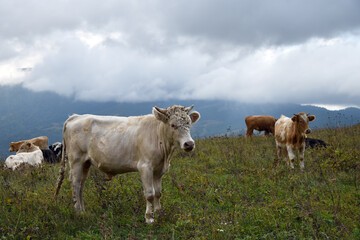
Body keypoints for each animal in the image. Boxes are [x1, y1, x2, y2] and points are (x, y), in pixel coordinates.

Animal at [56, 105, 202, 223]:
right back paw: (78, 212)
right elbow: (149, 194)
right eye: (173, 125)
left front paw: (159, 213)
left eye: (189, 123)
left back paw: (83, 211)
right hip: (76, 160)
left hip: (85, 163)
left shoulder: (159, 170)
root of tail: (76, 116)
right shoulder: (145, 167)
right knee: (75, 183)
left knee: (81, 185)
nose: (189, 144)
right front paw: (149, 218)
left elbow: (158, 193)